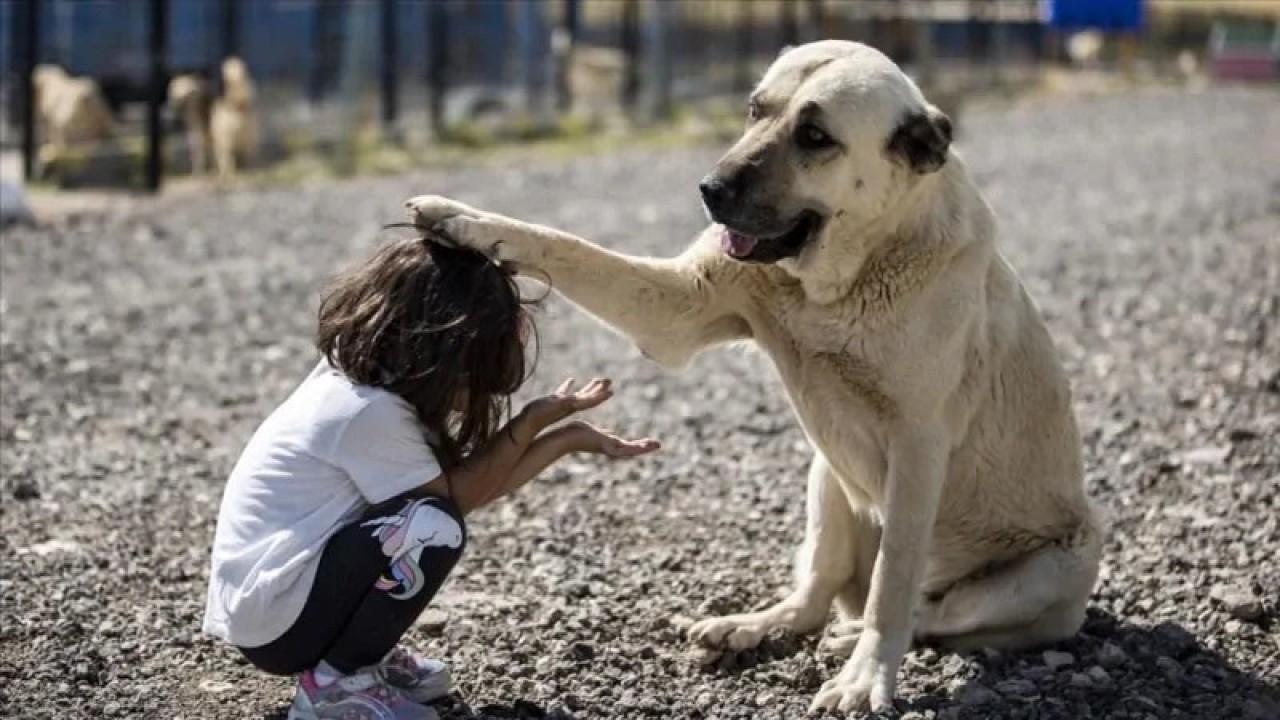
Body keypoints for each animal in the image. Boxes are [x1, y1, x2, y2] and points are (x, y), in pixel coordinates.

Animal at [407, 40, 1100, 712]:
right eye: (754, 109)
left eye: (815, 136)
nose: (709, 189)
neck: (848, 273)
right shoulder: (678, 305)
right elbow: (564, 244)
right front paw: (465, 220)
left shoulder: (919, 447)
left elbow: (894, 583)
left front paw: (867, 674)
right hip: (828, 479)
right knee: (816, 594)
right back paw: (755, 626)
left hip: (1061, 560)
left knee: (932, 610)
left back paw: (856, 637)